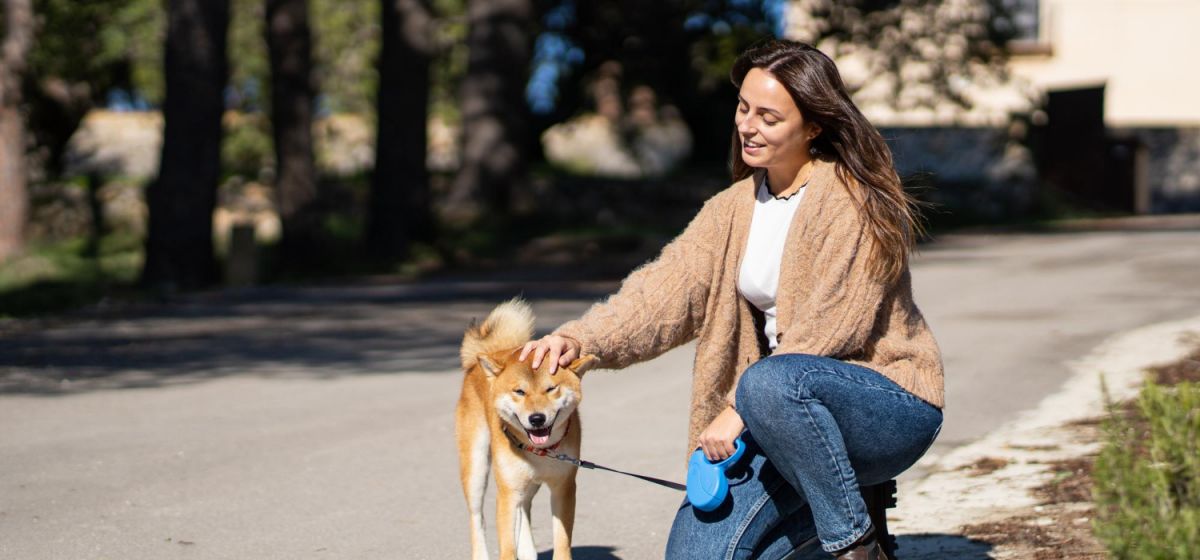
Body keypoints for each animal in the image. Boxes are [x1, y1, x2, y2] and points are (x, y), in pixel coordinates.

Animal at [453, 302, 595, 560]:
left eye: (551, 389)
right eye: (519, 392)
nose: (537, 418)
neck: (540, 451)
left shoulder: (564, 488)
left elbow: (561, 542)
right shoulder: (507, 493)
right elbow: (507, 546)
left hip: (527, 483)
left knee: (525, 508)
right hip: (476, 469)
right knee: (477, 517)